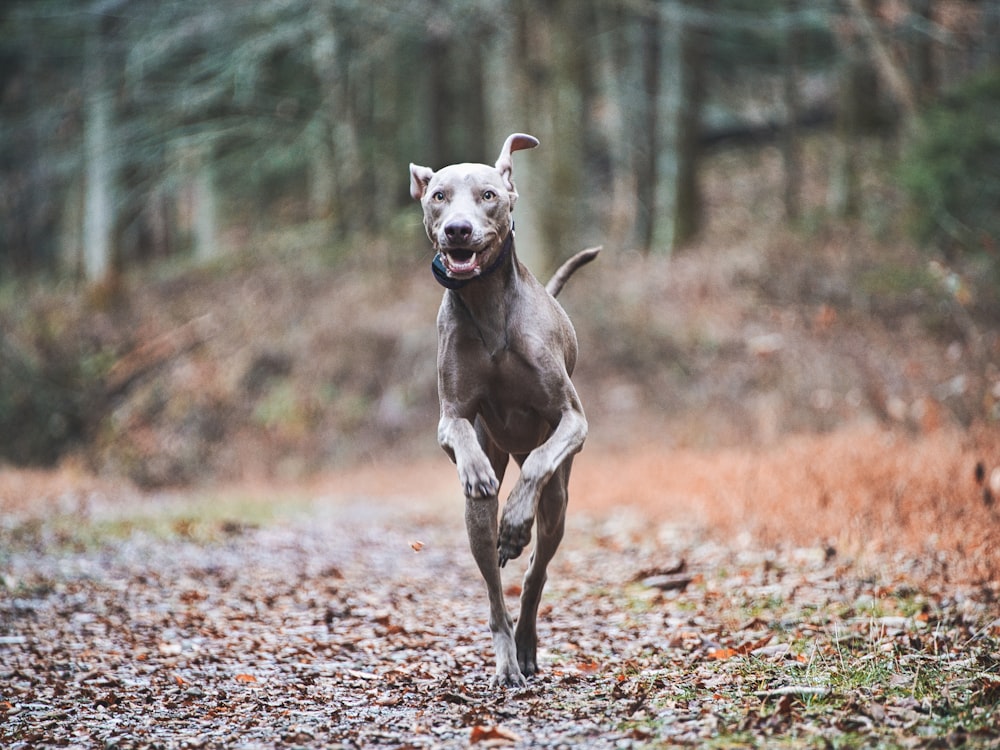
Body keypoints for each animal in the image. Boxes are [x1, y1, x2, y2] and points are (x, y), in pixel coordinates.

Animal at [410, 134, 596, 688]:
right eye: (439, 196)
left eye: (489, 195)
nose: (458, 229)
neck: (487, 302)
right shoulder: (450, 416)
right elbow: (457, 434)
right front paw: (475, 473)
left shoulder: (572, 419)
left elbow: (537, 464)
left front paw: (515, 519)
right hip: (479, 508)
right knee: (494, 587)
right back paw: (508, 659)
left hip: (559, 501)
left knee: (536, 567)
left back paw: (528, 639)